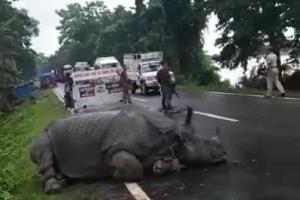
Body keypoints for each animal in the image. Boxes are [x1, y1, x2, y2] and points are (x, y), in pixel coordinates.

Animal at [29, 104, 226, 194]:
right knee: (42, 148)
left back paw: (62, 179)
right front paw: (116, 175)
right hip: (44, 135)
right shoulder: (111, 151)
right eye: (206, 145)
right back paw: (55, 187)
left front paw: (162, 166)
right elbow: (133, 167)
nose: (224, 154)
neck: (170, 136)